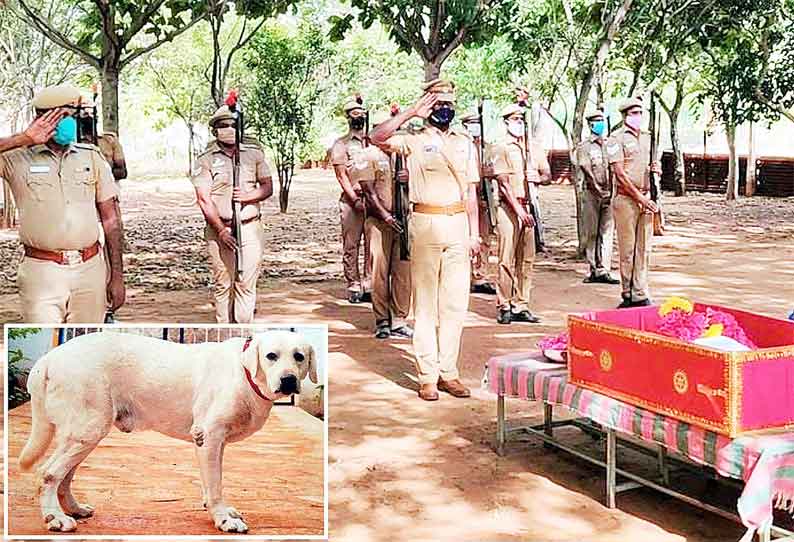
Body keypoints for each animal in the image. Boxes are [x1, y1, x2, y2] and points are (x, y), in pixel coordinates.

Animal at [18, 332, 316, 536]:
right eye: (271, 356)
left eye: (299, 357)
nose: (288, 380)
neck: (245, 373)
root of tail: (49, 359)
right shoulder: (209, 436)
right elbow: (216, 484)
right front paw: (223, 519)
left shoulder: (213, 442)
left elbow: (212, 482)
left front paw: (217, 509)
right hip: (88, 429)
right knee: (48, 474)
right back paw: (55, 519)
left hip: (82, 434)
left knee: (64, 476)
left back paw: (73, 509)